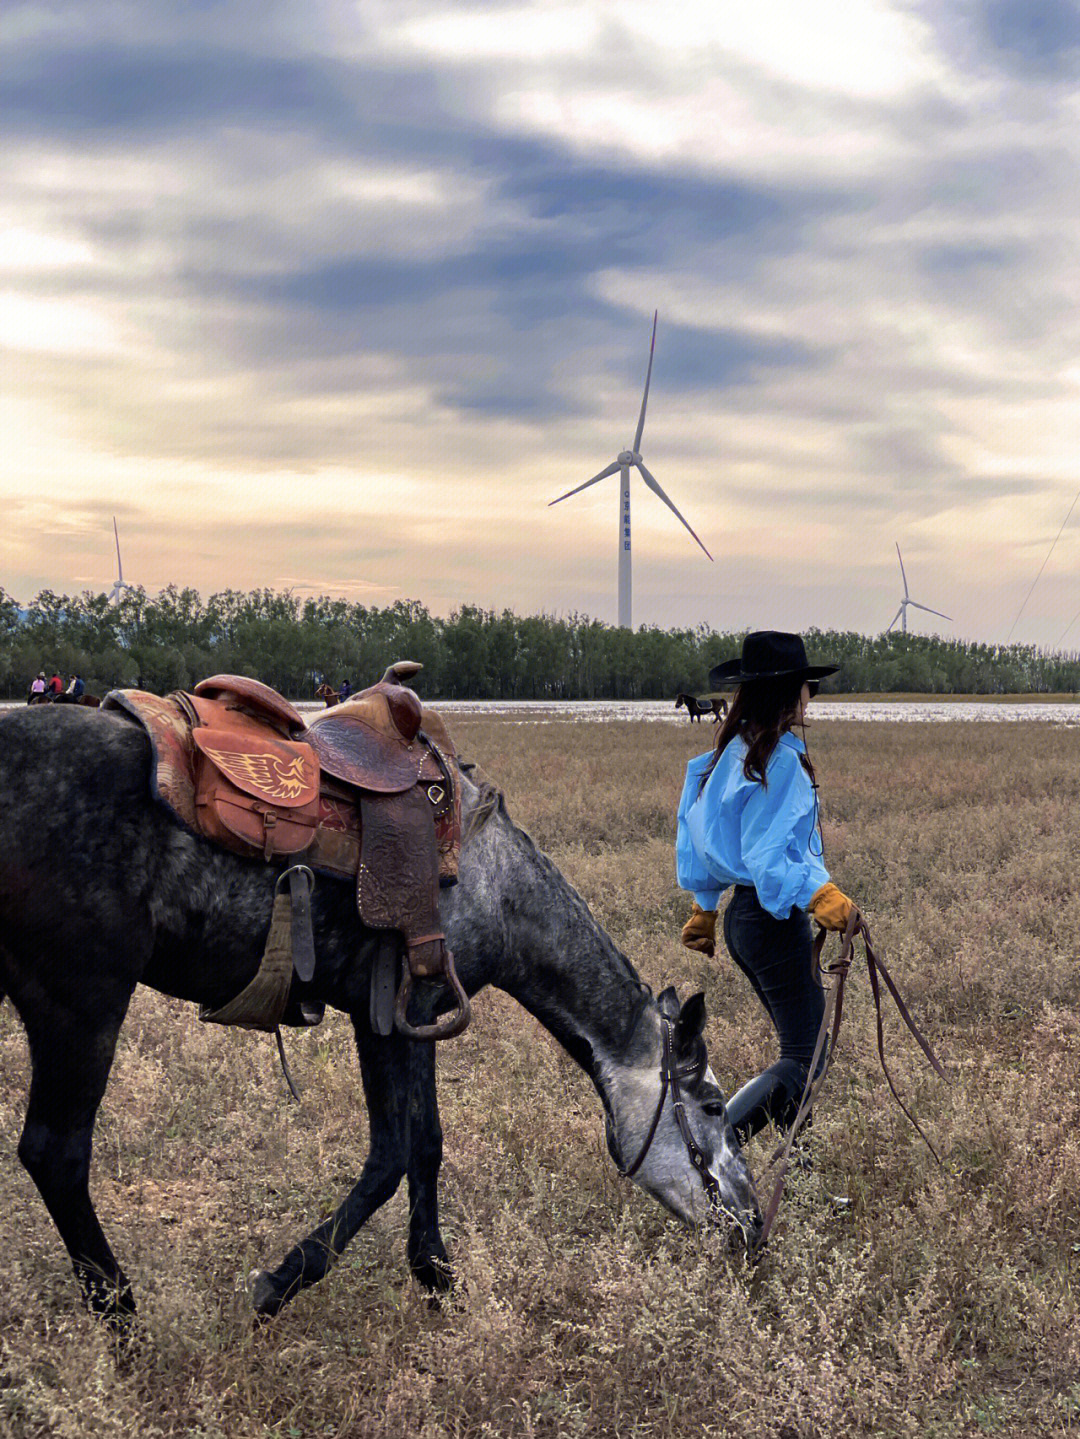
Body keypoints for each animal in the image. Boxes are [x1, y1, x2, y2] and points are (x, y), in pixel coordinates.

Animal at [0, 705, 759, 1323]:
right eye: (713, 1106)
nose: (754, 1227)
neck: (494, 882)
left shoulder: (400, 1016)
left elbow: (419, 1144)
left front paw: (435, 1278)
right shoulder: (401, 1010)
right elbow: (399, 1150)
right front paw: (289, 1280)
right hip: (82, 1001)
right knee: (55, 1154)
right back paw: (122, 1319)